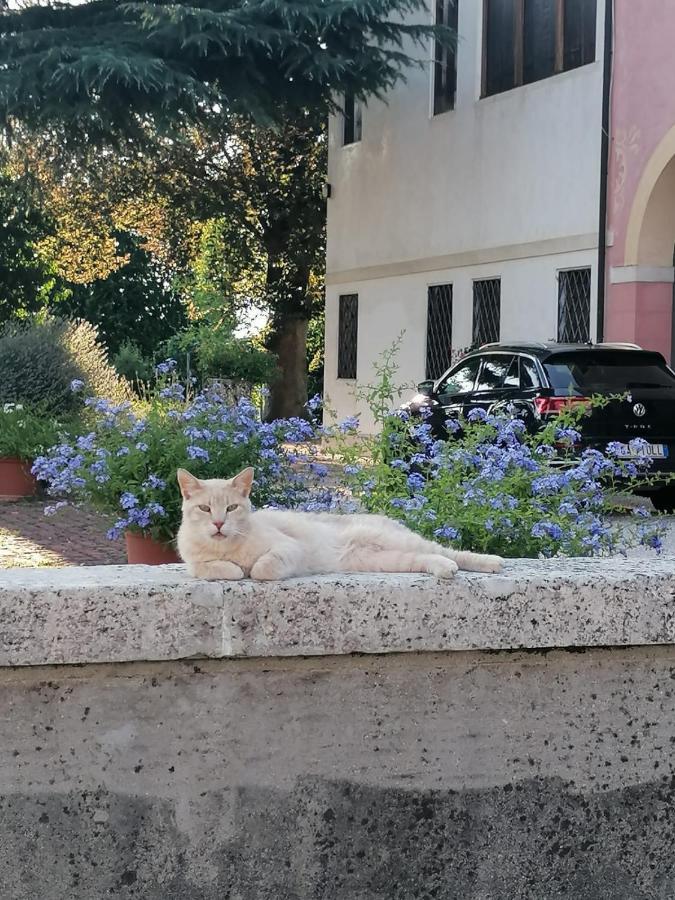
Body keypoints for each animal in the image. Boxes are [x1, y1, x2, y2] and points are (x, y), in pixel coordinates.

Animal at [177, 464, 504, 584]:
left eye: (231, 508)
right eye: (205, 508)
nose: (219, 523)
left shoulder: (287, 548)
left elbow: (261, 568)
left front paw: (249, 569)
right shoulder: (195, 565)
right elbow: (213, 569)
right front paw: (233, 568)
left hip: (398, 540)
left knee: (450, 552)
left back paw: (491, 563)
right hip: (385, 560)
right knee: (427, 558)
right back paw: (446, 570)